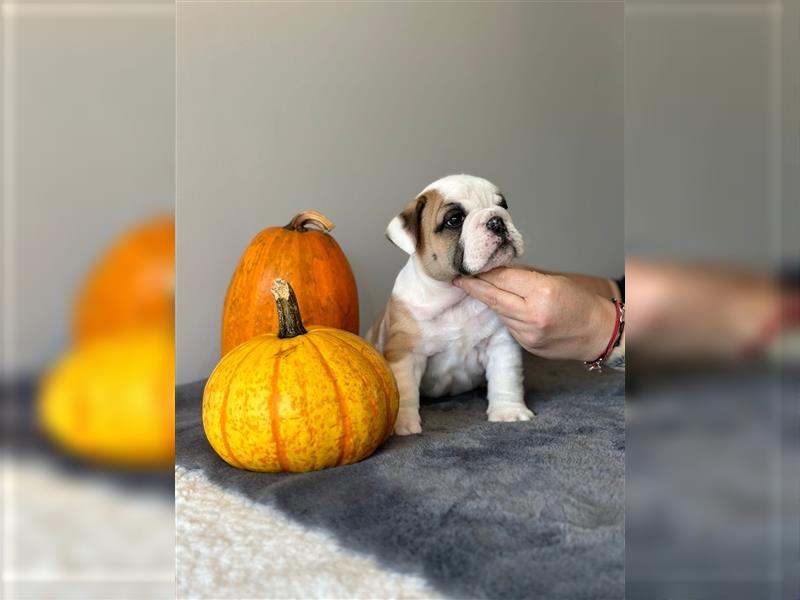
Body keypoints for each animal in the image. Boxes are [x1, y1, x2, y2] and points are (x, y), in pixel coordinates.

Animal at [368, 175, 532, 436]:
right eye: (454, 220)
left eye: (503, 205)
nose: (497, 220)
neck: (455, 295)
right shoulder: (405, 352)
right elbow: (405, 391)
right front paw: (403, 424)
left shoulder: (501, 343)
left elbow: (506, 378)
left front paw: (508, 412)